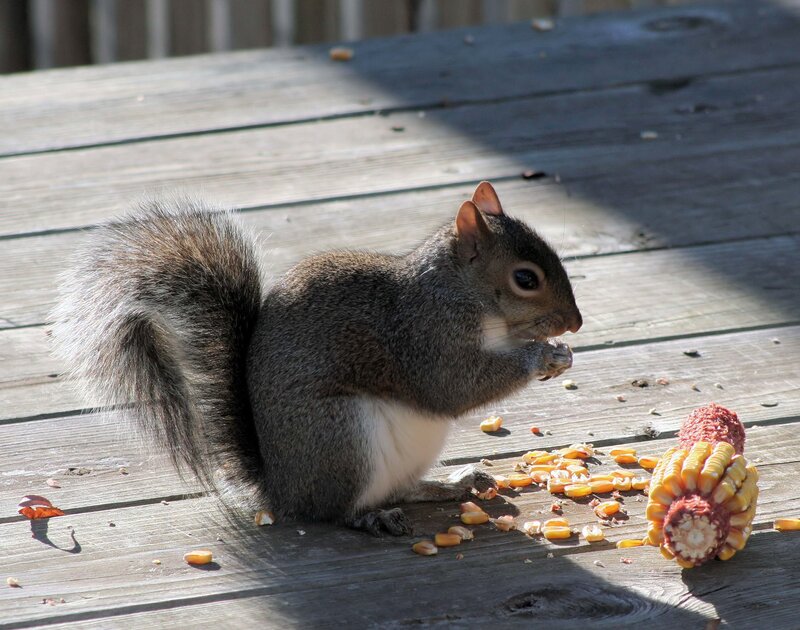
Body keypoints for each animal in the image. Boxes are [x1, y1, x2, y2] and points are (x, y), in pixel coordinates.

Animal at [51, 182, 582, 535]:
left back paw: (451, 482)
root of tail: (284, 490)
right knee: (336, 511)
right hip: (342, 437)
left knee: (400, 487)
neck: (460, 293)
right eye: (525, 278)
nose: (575, 323)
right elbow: (452, 387)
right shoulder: (423, 338)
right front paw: (542, 356)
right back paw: (372, 518)